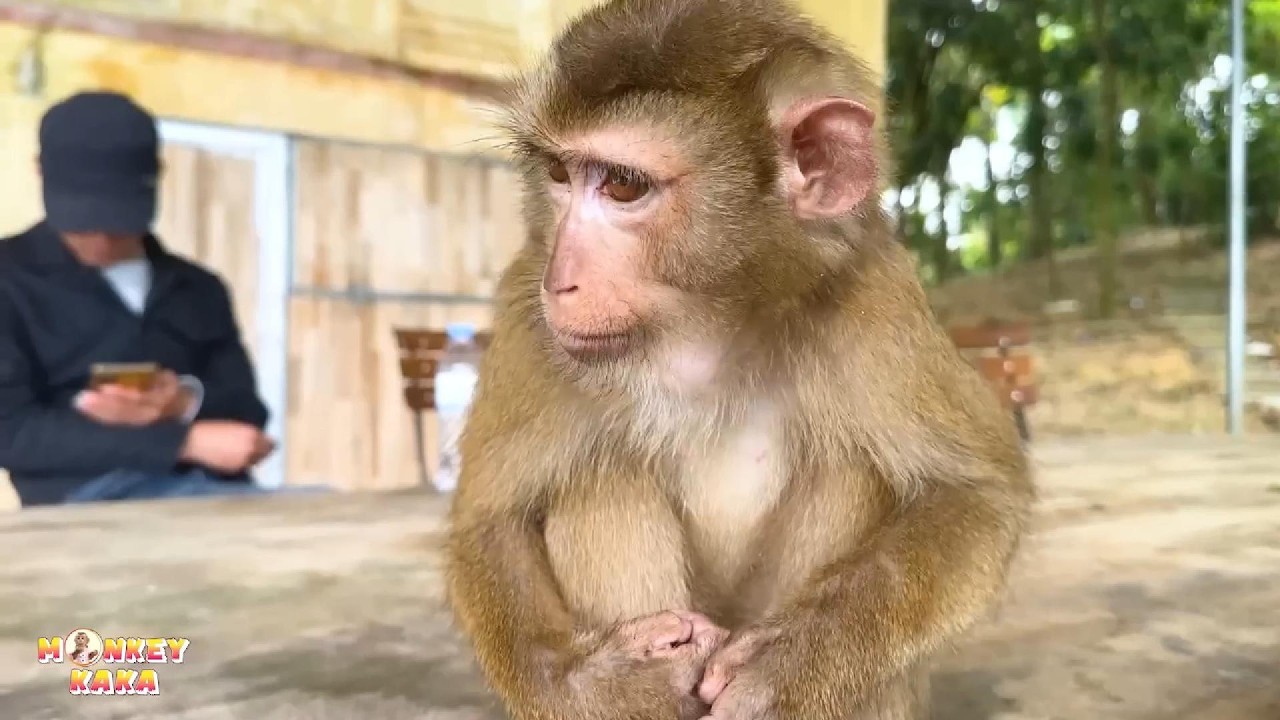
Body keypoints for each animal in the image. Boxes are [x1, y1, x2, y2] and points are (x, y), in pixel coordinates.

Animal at [443, 1, 1034, 718]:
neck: (703, 327)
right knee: (599, 474)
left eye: (623, 186)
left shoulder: (875, 297)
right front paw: (608, 689)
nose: (561, 284)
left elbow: (978, 493)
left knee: (852, 466)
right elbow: (487, 524)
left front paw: (792, 664)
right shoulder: (527, 315)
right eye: (559, 175)